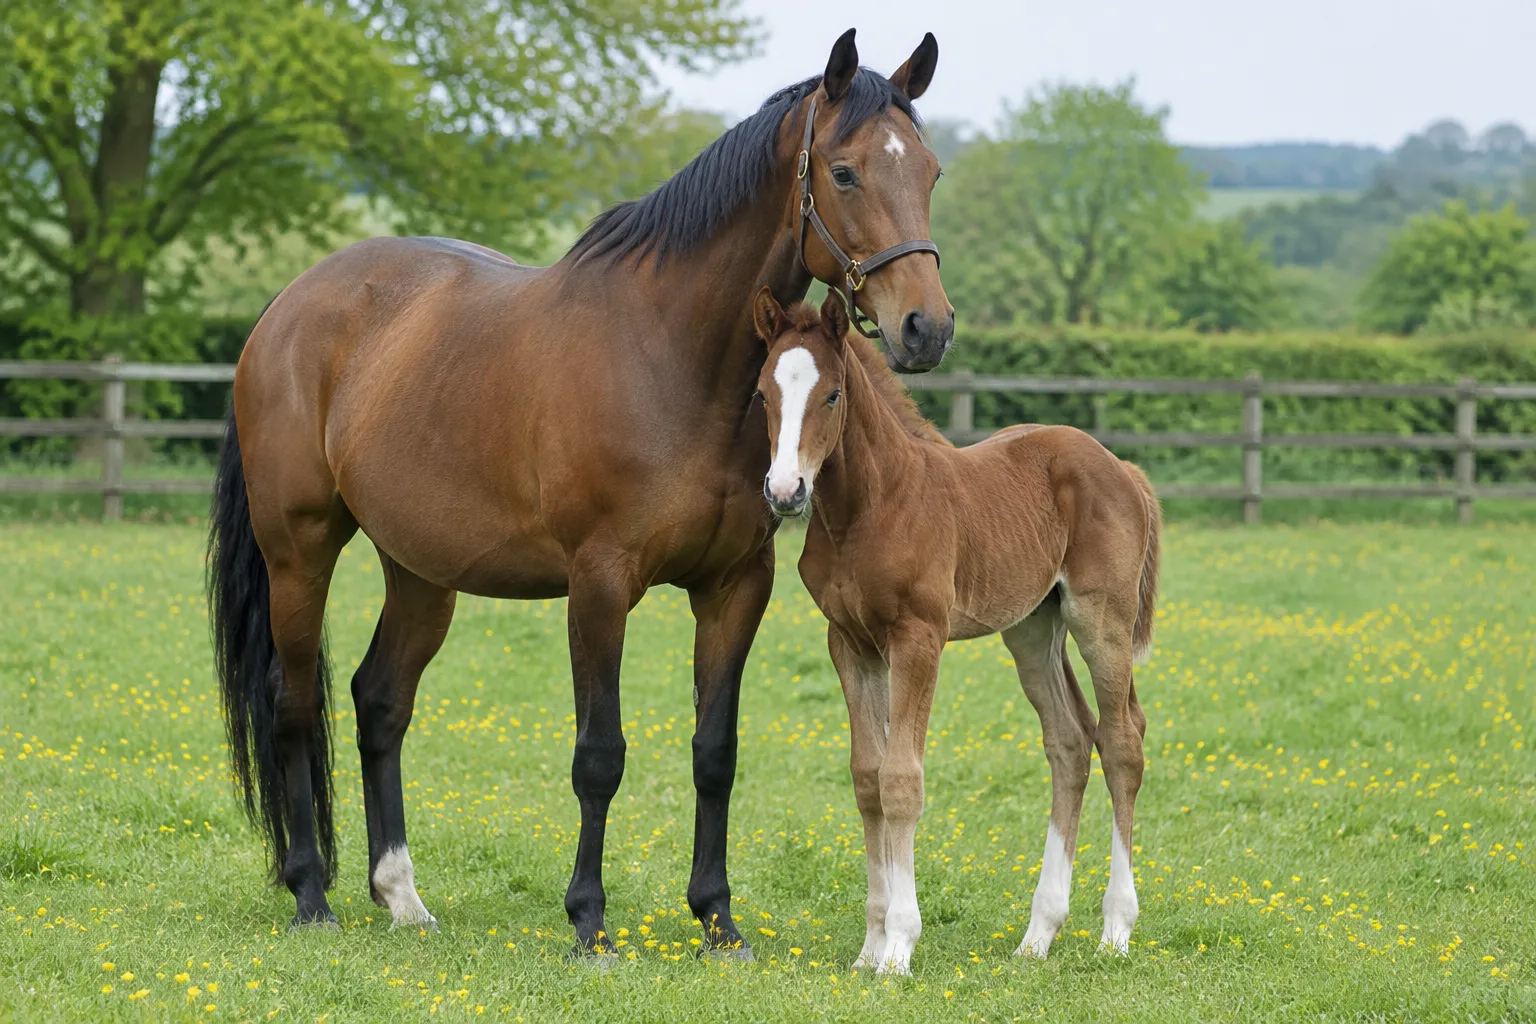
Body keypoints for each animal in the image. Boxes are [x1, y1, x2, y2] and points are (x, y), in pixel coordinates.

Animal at [206, 28, 953, 958]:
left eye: (930, 172)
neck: (674, 356)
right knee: (295, 705)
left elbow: (716, 750)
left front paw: (718, 919)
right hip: (299, 552)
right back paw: (311, 893)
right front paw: (588, 922)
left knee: (380, 704)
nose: (926, 327)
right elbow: (599, 755)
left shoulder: (736, 585)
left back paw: (402, 897)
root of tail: (284, 309)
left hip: (420, 571)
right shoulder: (599, 584)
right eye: (846, 173)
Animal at [750, 289, 1162, 973]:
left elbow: (901, 779)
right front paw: (869, 946)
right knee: (1071, 740)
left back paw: (1115, 930)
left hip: (1100, 618)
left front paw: (898, 946)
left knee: (1123, 739)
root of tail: (1120, 465)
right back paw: (1037, 935)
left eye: (832, 395)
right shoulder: (849, 643)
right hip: (1032, 628)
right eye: (762, 395)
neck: (870, 505)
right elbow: (867, 778)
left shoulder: (918, 638)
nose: (786, 491)